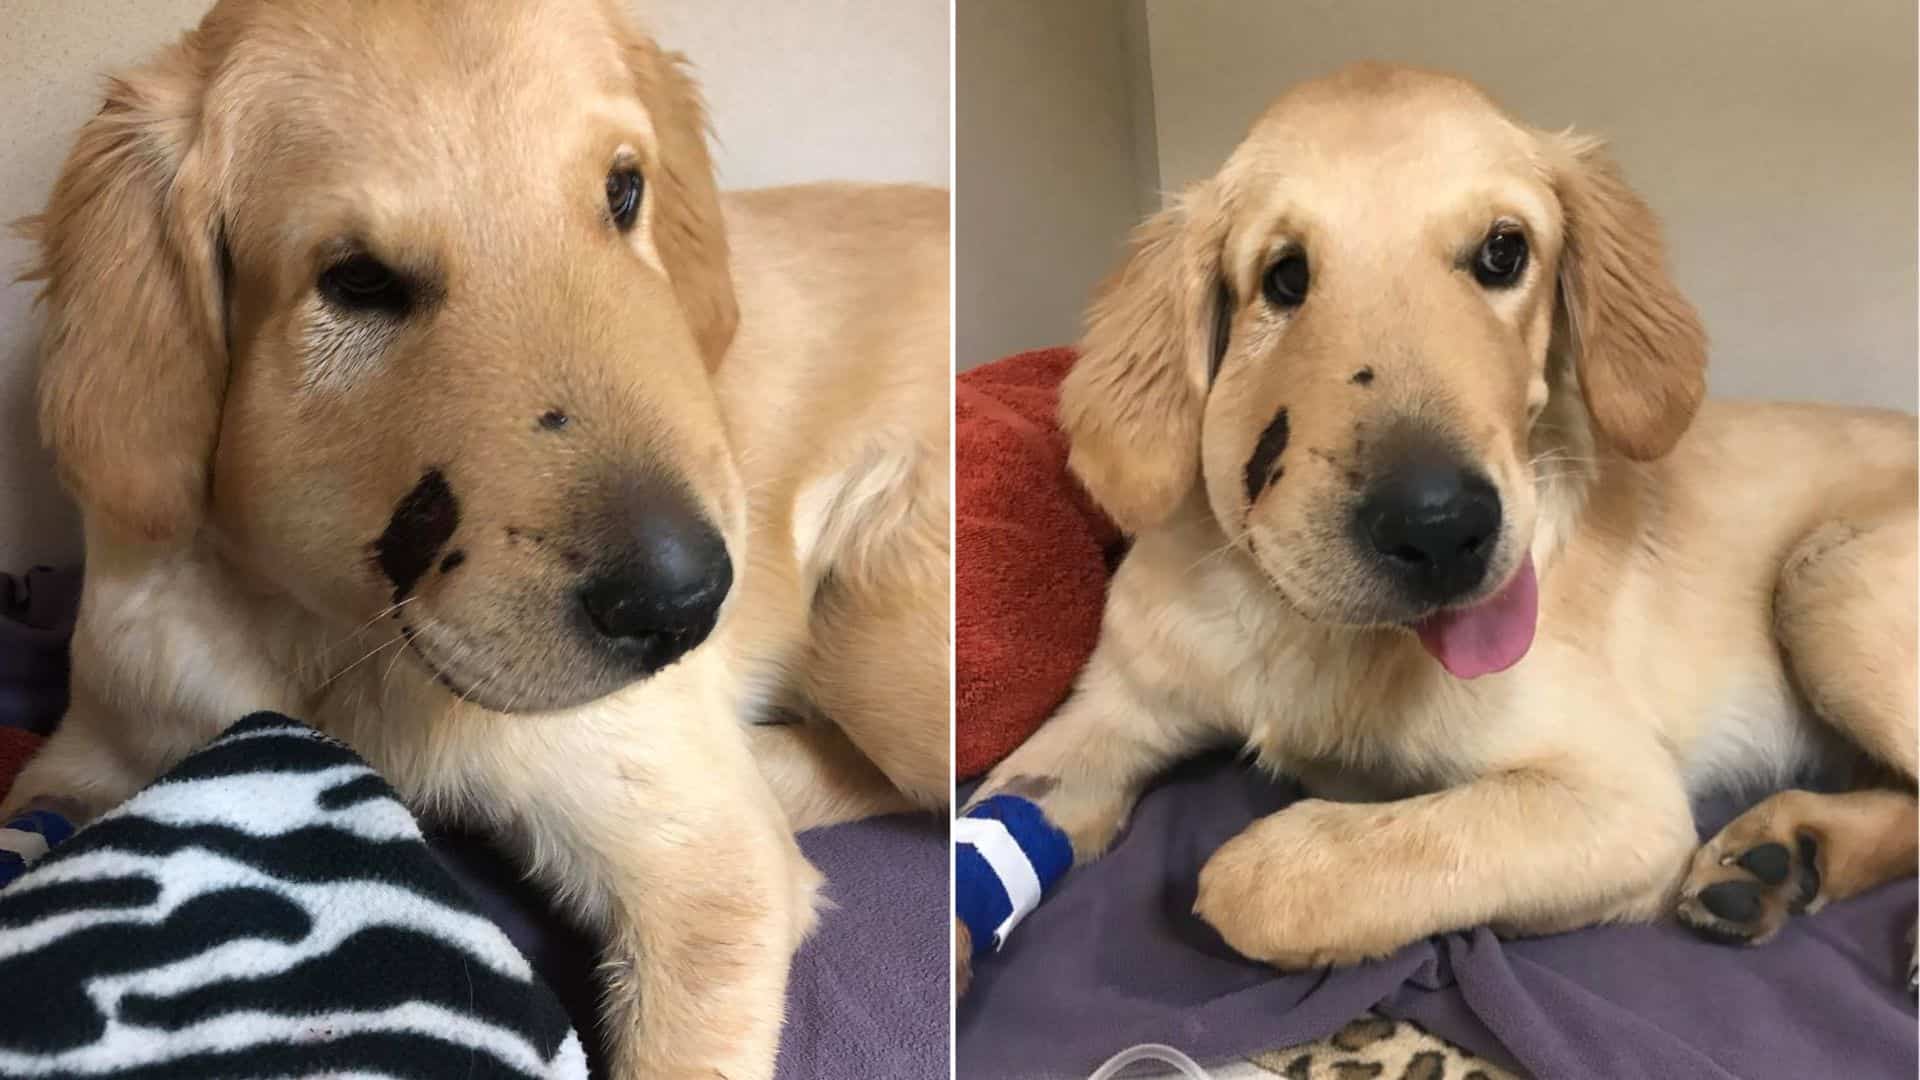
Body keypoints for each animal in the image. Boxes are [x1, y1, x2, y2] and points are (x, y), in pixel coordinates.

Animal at [9, 2, 952, 1076]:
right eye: (358, 279)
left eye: (623, 191)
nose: (687, 604)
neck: (332, 644)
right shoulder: (90, 748)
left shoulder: (710, 878)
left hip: (883, 651)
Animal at [967, 62, 1912, 991]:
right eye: (1284, 276)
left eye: (1503, 251)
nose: (1440, 530)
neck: (1296, 618)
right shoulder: (1108, 711)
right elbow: (989, 828)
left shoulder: (1621, 800)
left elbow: (1274, 878)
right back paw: (1780, 857)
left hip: (1829, 576)